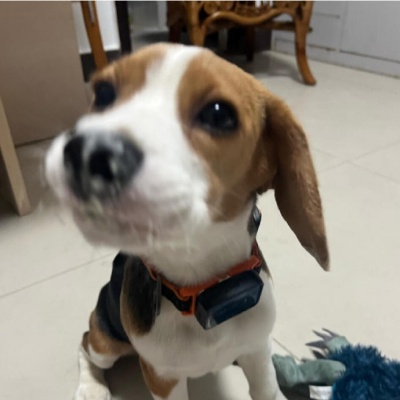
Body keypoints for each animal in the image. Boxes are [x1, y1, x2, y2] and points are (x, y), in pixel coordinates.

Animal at [45, 43, 329, 400]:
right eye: (104, 93)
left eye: (219, 114)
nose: (85, 153)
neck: (200, 285)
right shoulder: (162, 376)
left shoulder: (258, 352)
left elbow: (266, 388)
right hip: (106, 341)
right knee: (85, 343)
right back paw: (91, 387)